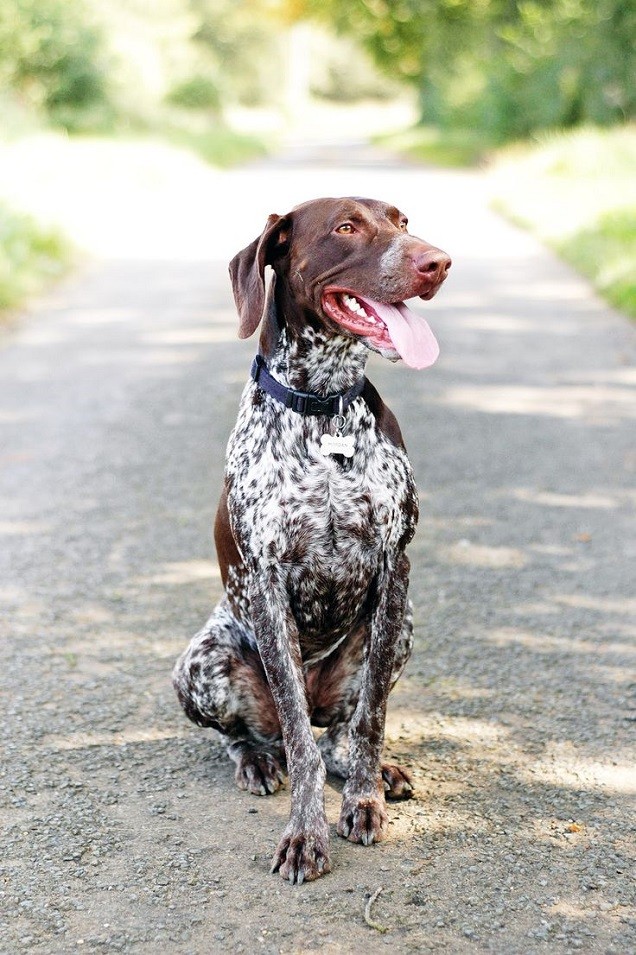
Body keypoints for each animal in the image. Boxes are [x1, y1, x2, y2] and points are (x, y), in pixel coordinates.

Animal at [174, 198, 452, 884]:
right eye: (345, 228)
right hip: (200, 660)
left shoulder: (394, 571)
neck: (324, 411)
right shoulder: (267, 584)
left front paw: (363, 798)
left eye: (403, 222)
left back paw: (362, 766)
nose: (438, 262)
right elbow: (299, 740)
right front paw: (306, 833)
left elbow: (372, 715)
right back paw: (256, 760)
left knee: (339, 731)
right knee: (264, 734)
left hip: (402, 628)